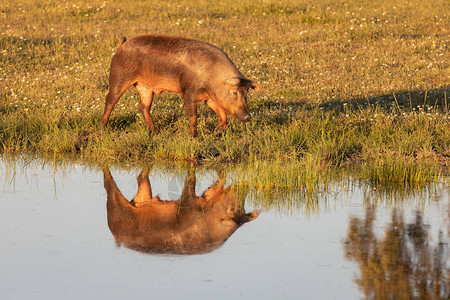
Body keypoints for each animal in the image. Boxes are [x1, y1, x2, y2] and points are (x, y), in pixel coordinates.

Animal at [100, 34, 262, 136]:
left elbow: (222, 114)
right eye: (234, 92)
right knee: (110, 100)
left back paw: (155, 131)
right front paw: (193, 136)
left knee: (143, 106)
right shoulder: (188, 91)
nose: (248, 116)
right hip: (118, 76)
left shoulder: (209, 98)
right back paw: (103, 127)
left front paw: (218, 132)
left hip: (145, 87)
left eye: (246, 94)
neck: (212, 77)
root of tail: (122, 45)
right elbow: (193, 115)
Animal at [103, 168, 260, 254]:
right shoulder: (188, 205)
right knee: (108, 184)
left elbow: (217, 184)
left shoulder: (206, 198)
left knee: (140, 178)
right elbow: (190, 182)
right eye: (232, 208)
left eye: (243, 208)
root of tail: (116, 235)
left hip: (142, 195)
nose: (245, 185)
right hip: (115, 204)